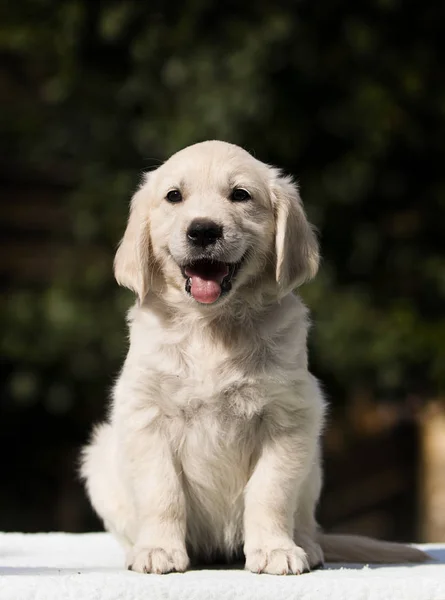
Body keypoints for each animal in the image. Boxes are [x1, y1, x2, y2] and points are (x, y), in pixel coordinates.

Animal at [80, 138, 426, 576]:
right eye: (174, 196)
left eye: (240, 195)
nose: (203, 230)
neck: (213, 326)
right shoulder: (146, 414)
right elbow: (162, 492)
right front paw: (157, 549)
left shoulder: (289, 418)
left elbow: (270, 491)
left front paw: (275, 550)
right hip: (99, 459)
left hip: (313, 468)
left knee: (305, 520)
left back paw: (307, 545)